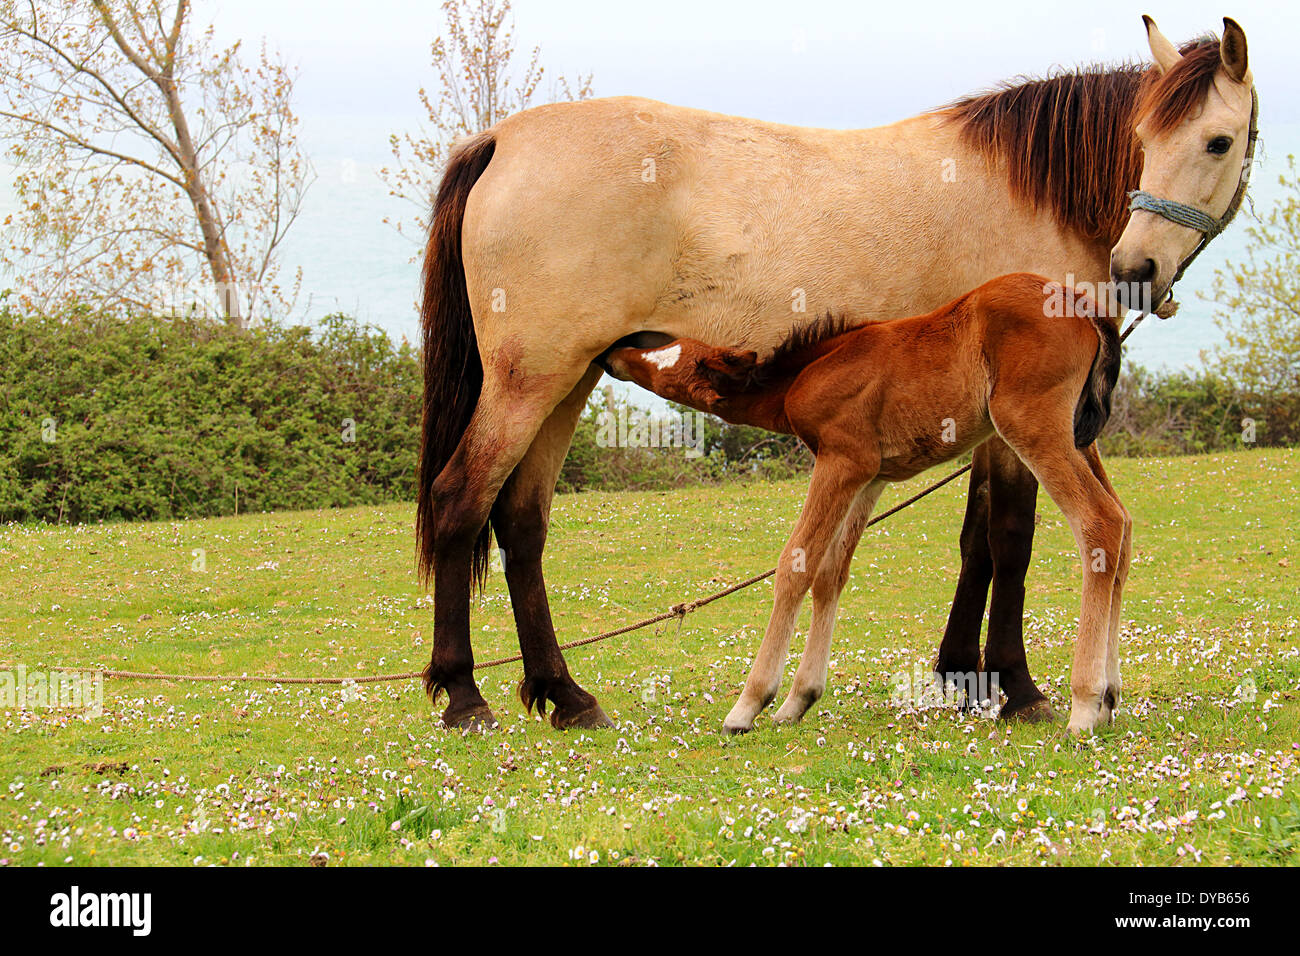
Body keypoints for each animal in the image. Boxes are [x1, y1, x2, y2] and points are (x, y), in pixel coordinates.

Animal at [605, 273, 1128, 738]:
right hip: (1080, 439)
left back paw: (1084, 706)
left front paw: (749, 705)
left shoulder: (841, 461)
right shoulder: (869, 478)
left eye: (669, 359)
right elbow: (830, 573)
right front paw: (799, 700)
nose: (616, 351)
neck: (812, 370)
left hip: (1032, 427)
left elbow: (796, 564)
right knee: (1122, 528)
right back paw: (1109, 699)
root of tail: (1086, 308)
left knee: (1098, 521)